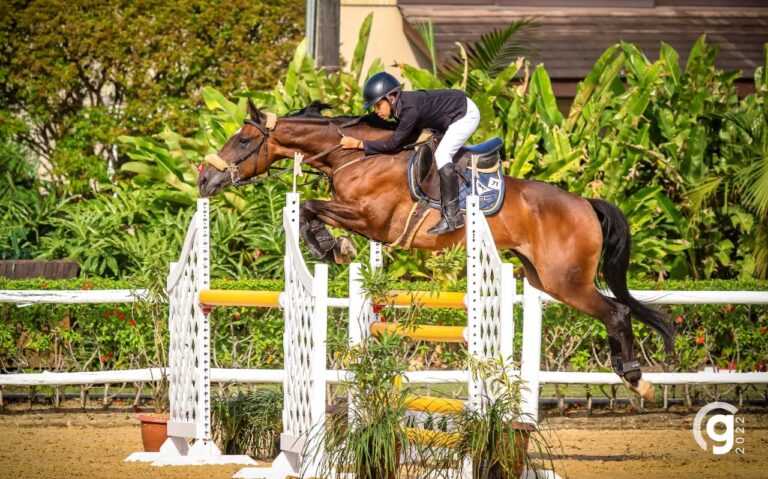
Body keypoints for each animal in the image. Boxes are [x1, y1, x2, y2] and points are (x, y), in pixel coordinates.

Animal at [201, 100, 676, 402]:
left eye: (241, 141)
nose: (205, 179)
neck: (354, 156)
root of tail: (584, 204)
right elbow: (311, 210)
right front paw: (333, 246)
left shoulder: (371, 219)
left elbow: (311, 209)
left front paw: (331, 246)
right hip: (544, 278)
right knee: (614, 311)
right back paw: (627, 373)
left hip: (567, 280)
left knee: (617, 312)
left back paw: (637, 380)